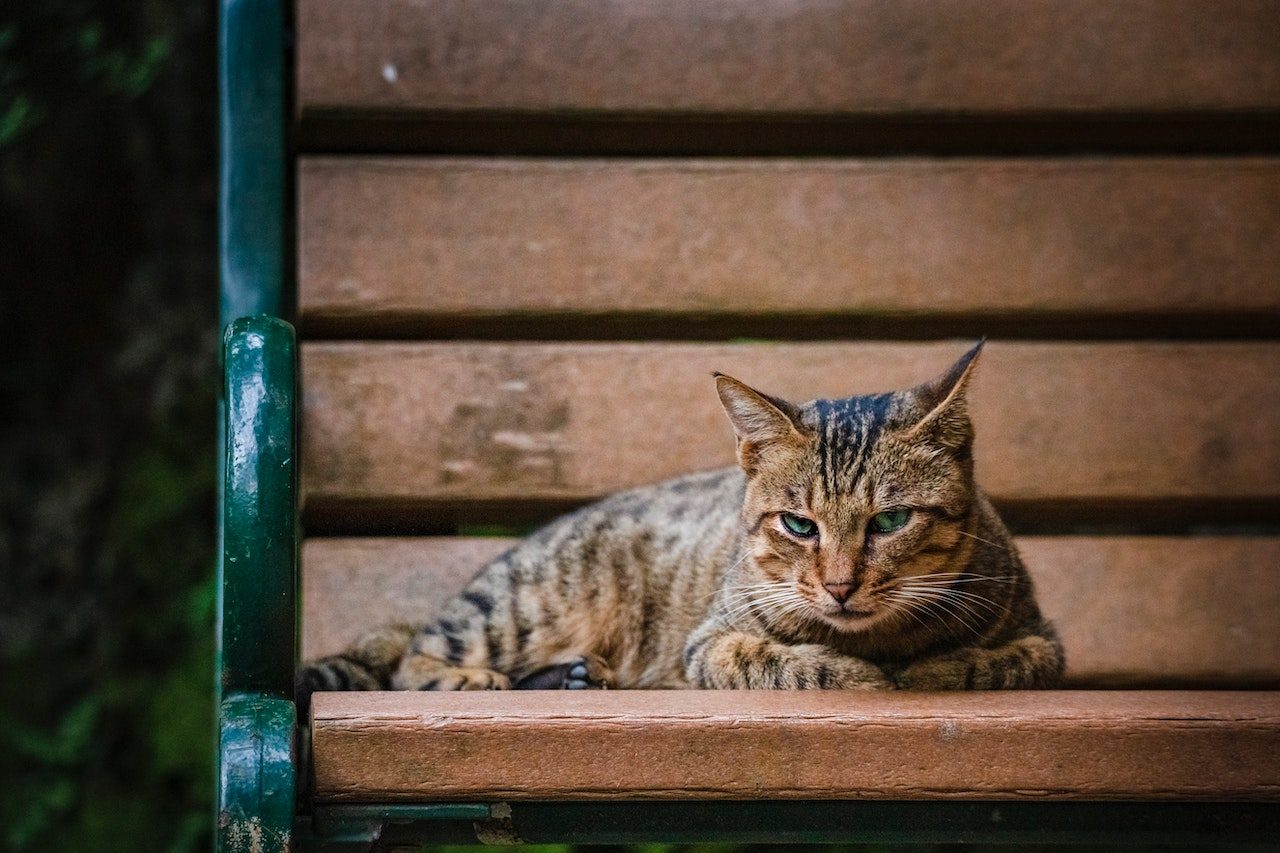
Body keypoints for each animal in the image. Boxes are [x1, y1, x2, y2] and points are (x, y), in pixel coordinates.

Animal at [296, 338, 1059, 712]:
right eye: (798, 525)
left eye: (891, 519)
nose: (840, 586)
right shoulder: (709, 642)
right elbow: (780, 660)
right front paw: (860, 673)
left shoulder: (1045, 640)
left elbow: (999, 659)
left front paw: (934, 666)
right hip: (524, 604)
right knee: (411, 657)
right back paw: (489, 680)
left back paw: (575, 678)